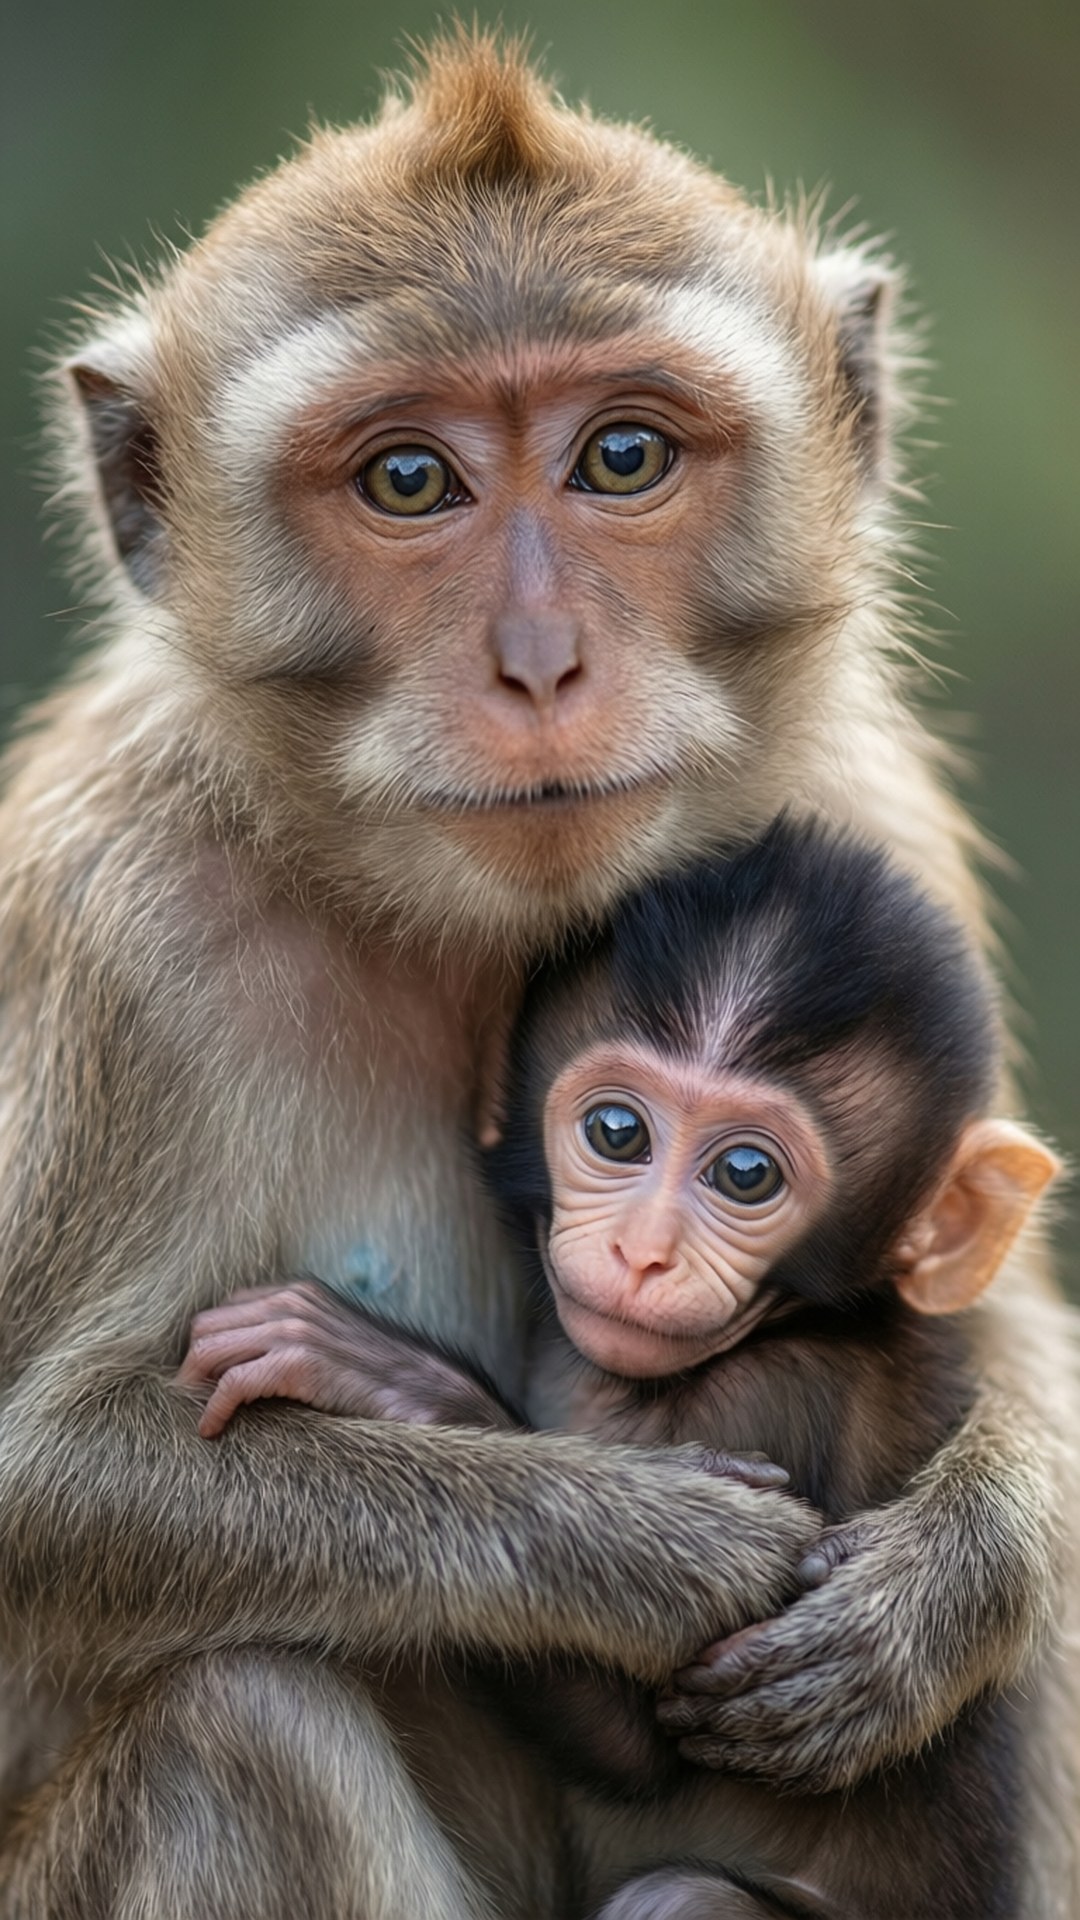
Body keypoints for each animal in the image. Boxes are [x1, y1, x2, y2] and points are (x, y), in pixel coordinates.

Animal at [182, 817, 1061, 1919]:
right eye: (616, 1131)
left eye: (745, 1175)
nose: (642, 1253)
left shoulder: (770, 1399)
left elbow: (635, 1749)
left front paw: (396, 1383)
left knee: (678, 1898)